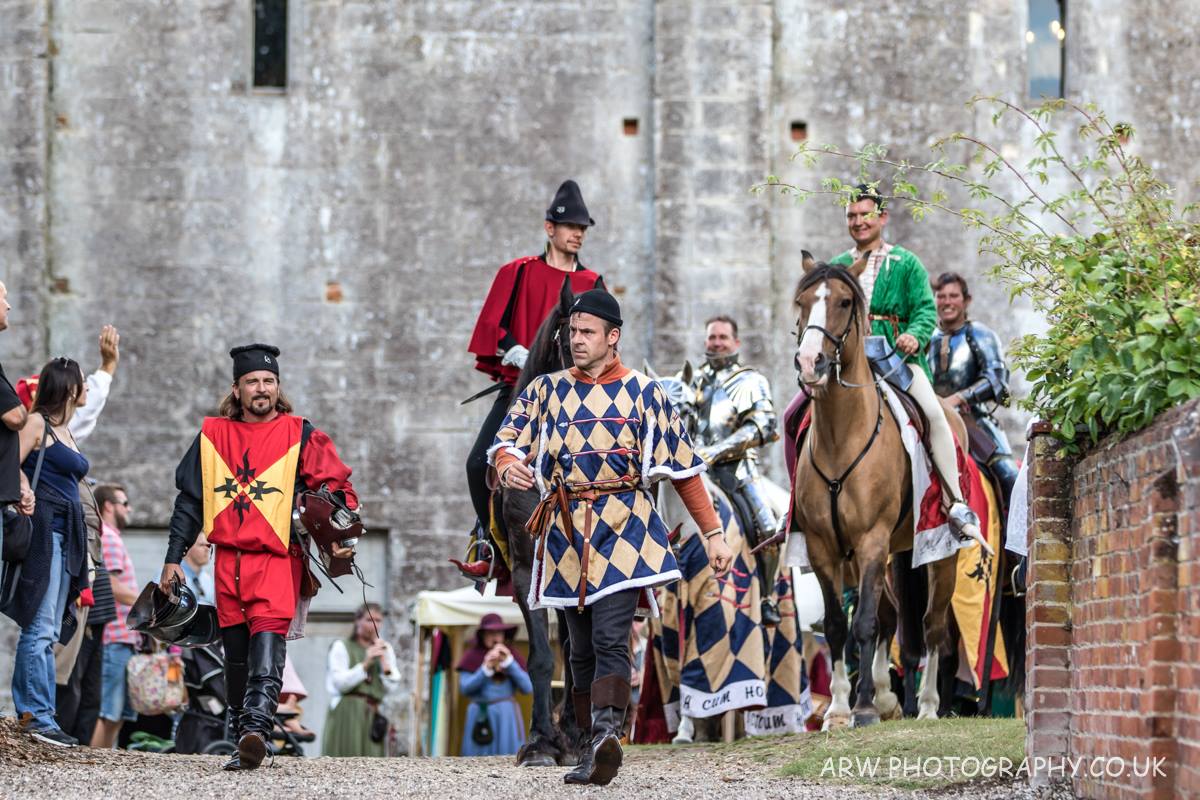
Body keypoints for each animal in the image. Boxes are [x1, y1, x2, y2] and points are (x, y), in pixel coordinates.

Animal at [791, 256, 967, 729]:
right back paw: (891, 697)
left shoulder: (871, 539)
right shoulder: (823, 548)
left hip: (938, 554)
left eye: (844, 301)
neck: (841, 438)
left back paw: (927, 705)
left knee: (931, 625)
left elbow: (865, 622)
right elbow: (837, 624)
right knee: (894, 614)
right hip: (890, 554)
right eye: (802, 302)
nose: (810, 361)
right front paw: (838, 710)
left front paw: (864, 707)